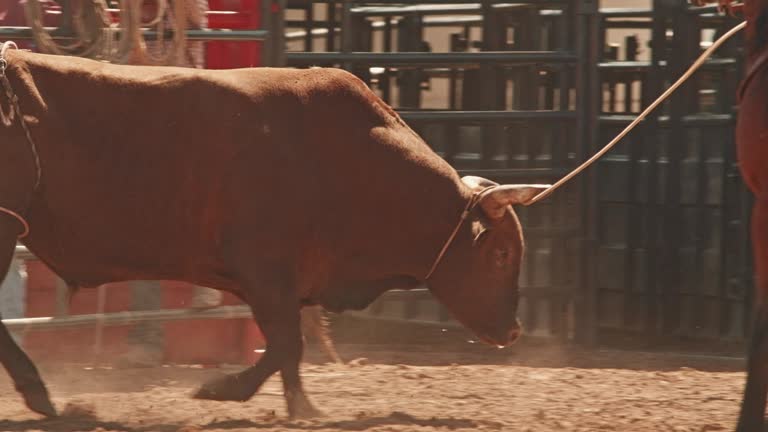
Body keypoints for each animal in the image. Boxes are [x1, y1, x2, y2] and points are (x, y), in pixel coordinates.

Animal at [0, 47, 544, 418]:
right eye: (499, 254)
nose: (514, 331)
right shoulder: (265, 273)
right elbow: (285, 345)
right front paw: (226, 390)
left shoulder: (285, 283)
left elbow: (288, 348)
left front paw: (297, 405)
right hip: (7, 228)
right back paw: (39, 394)